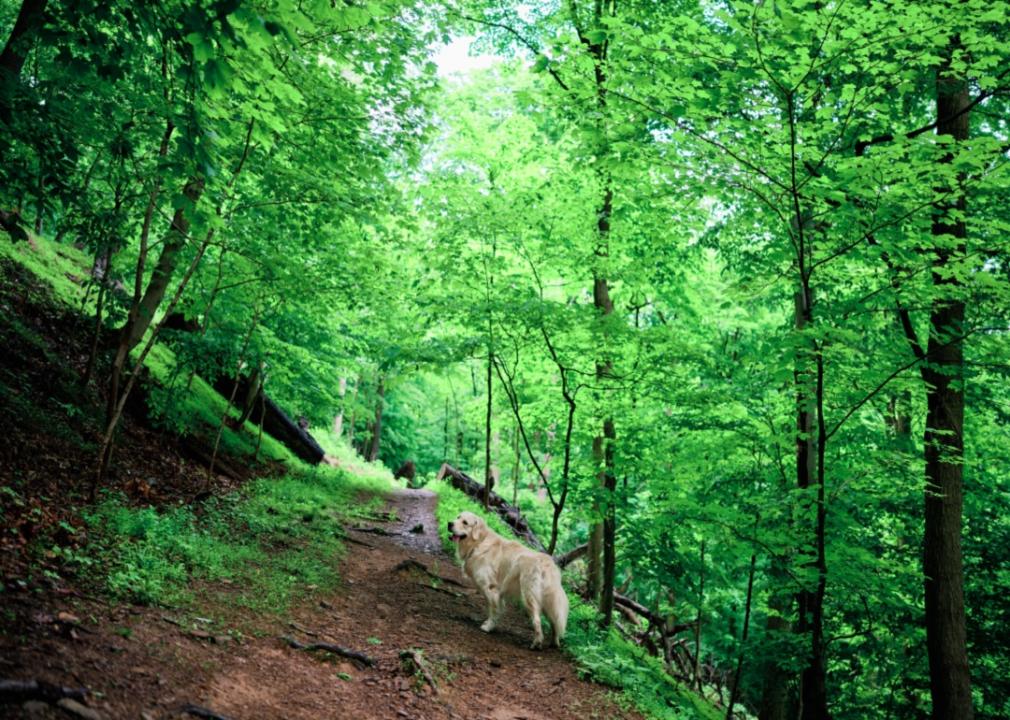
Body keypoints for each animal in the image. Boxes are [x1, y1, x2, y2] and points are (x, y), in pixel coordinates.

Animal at [450, 508, 569, 650]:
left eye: (465, 522)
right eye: (457, 517)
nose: (449, 523)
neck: (479, 542)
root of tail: (547, 562)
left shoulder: (491, 588)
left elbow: (493, 610)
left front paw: (488, 626)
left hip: (529, 595)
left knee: (537, 620)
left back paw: (537, 643)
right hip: (547, 598)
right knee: (554, 621)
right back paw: (554, 642)